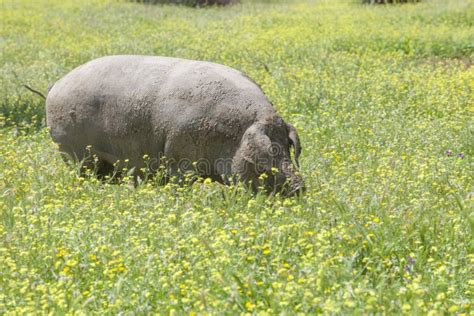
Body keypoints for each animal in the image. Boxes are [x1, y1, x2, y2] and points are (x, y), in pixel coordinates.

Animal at [46, 55, 306, 196]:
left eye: (288, 148)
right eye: (269, 153)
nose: (300, 188)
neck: (233, 136)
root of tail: (56, 85)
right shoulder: (178, 157)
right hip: (73, 152)